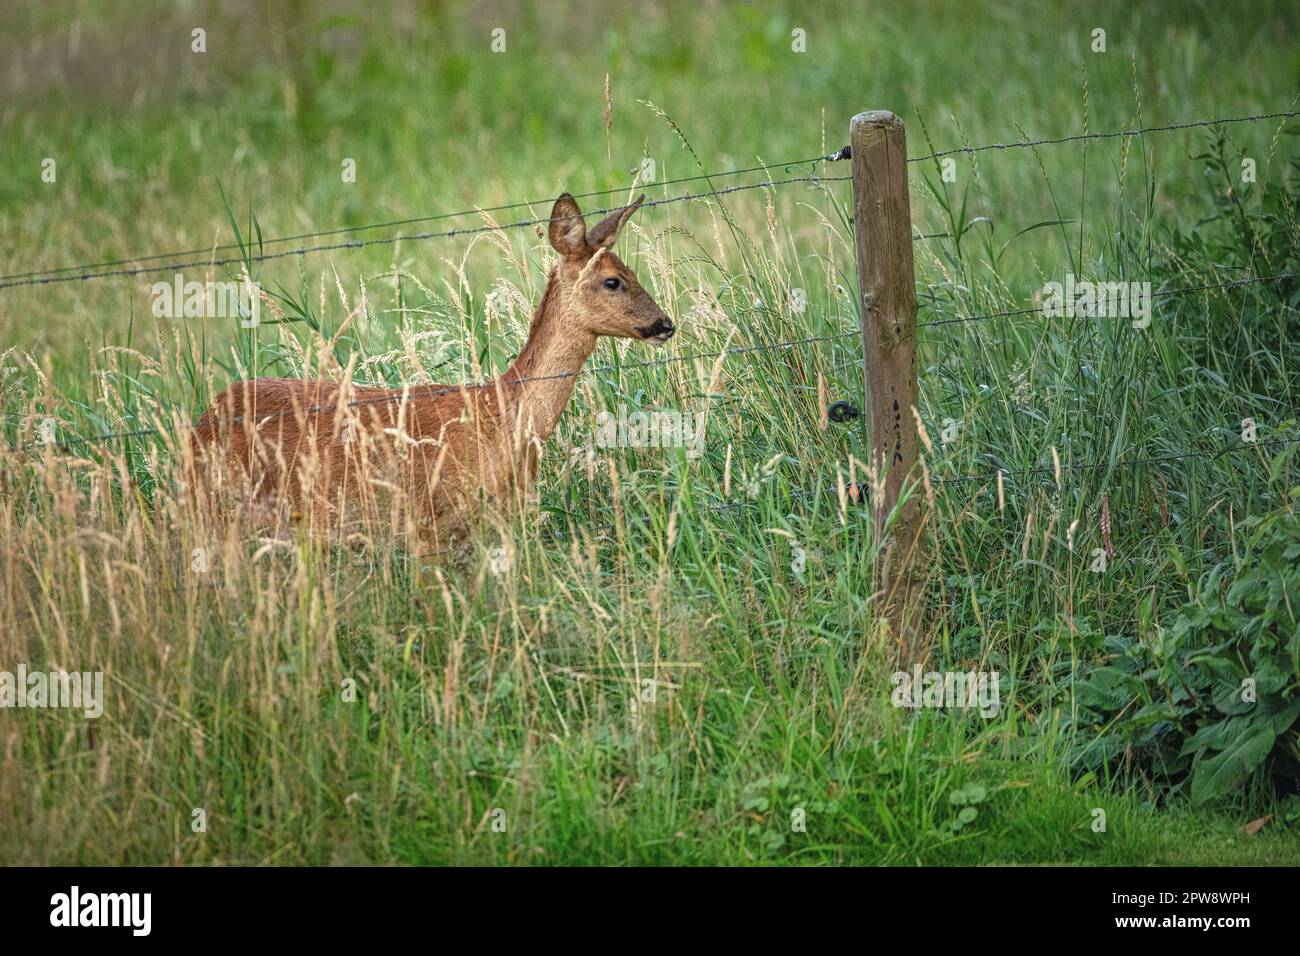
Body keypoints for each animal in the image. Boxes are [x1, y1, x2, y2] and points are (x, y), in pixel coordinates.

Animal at [186, 193, 674, 550]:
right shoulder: (426, 520)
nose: (665, 324)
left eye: (631, 271)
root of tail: (202, 420)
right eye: (613, 281)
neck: (498, 417)